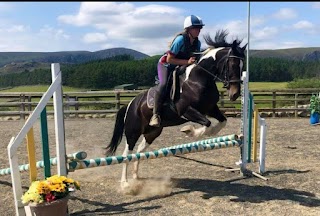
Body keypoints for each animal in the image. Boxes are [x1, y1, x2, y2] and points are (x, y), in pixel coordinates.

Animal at [104, 29, 246, 189]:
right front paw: (189, 131)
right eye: (232, 64)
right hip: (132, 131)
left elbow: (222, 122)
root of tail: (130, 104)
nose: (234, 94)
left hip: (152, 132)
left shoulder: (210, 108)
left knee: (140, 150)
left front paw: (207, 133)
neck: (199, 77)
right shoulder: (185, 110)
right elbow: (207, 123)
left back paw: (136, 176)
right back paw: (125, 183)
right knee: (127, 153)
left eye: (243, 65)